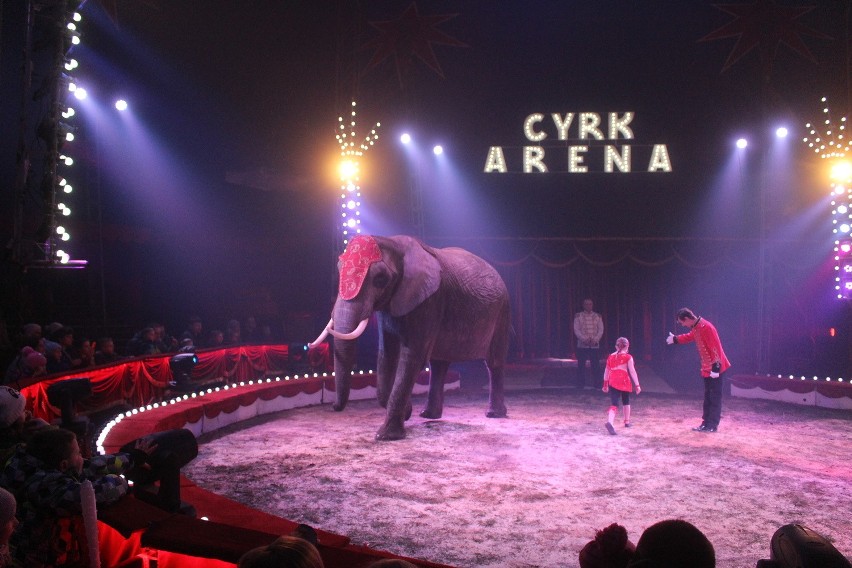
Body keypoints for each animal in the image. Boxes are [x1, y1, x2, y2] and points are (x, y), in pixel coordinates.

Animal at [310, 233, 510, 442]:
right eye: (338, 269)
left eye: (380, 279)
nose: (334, 406)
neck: (393, 243)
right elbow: (387, 355)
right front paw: (406, 412)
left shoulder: (430, 300)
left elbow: (412, 358)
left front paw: (386, 436)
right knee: (438, 364)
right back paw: (428, 415)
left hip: (502, 312)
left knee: (494, 362)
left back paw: (493, 414)